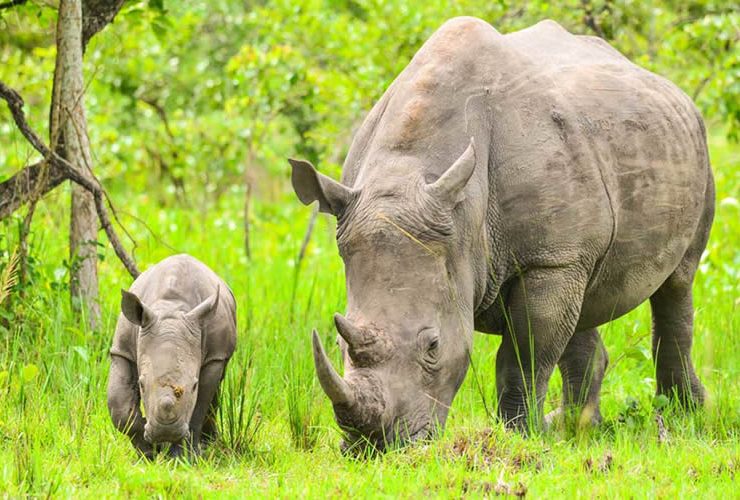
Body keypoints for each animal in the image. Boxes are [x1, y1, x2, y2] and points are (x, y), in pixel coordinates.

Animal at [107, 254, 236, 457]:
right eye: (141, 385)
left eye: (194, 385)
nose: (165, 432)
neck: (171, 309)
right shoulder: (122, 351)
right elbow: (118, 407)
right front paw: (148, 453)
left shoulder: (216, 356)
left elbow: (198, 407)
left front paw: (182, 457)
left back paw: (207, 444)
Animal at [289, 17, 714, 449]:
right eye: (339, 344)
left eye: (433, 346)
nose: (376, 446)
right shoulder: (556, 255)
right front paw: (535, 433)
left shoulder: (548, 260)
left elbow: (523, 357)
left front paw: (519, 436)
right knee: (584, 300)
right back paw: (574, 427)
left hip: (697, 147)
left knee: (677, 283)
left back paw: (682, 414)